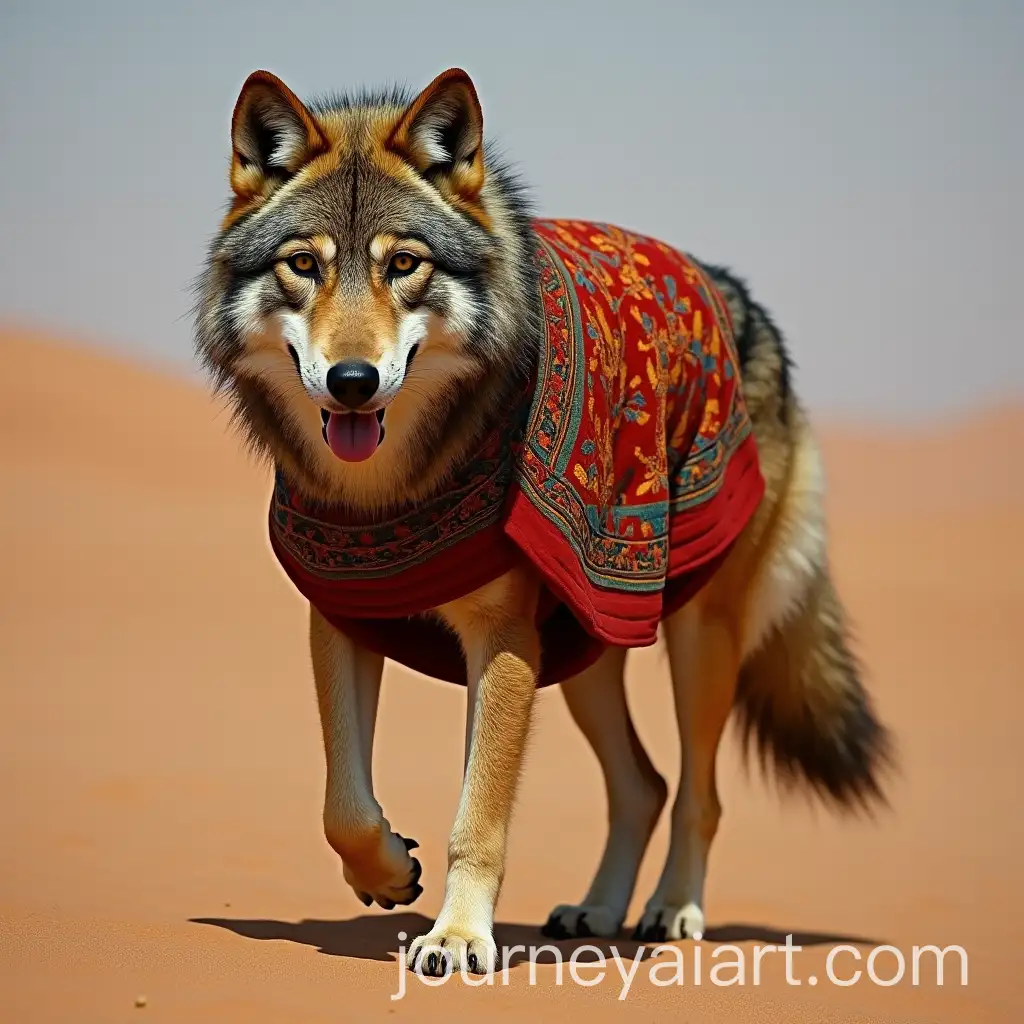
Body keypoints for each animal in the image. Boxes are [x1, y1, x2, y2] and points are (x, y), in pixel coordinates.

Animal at [194, 67, 891, 977]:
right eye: (303, 266)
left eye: (405, 265)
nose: (352, 382)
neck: (389, 493)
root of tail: (739, 295)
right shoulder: (343, 618)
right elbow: (341, 803)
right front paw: (388, 873)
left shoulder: (503, 639)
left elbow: (478, 817)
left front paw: (458, 938)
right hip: (590, 642)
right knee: (645, 784)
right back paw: (597, 910)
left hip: (695, 640)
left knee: (699, 793)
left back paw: (671, 910)